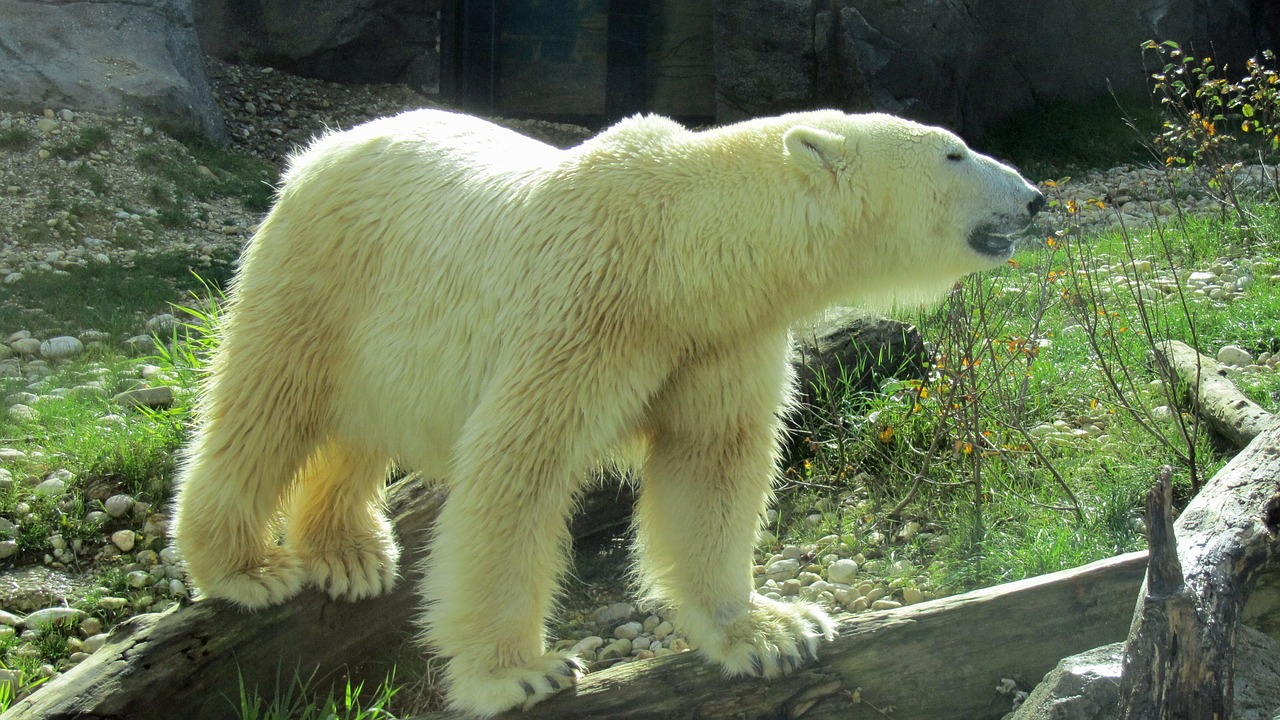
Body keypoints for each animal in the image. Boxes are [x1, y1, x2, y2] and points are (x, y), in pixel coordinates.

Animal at [172, 109, 1039, 712]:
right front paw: (518, 675)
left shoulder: (718, 340)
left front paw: (771, 631)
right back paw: (246, 567)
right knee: (264, 403)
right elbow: (516, 472)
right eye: (955, 151)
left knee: (353, 428)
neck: (679, 252)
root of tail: (321, 147)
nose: (1033, 198)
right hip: (320, 271)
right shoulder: (584, 310)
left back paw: (349, 553)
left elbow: (712, 464)